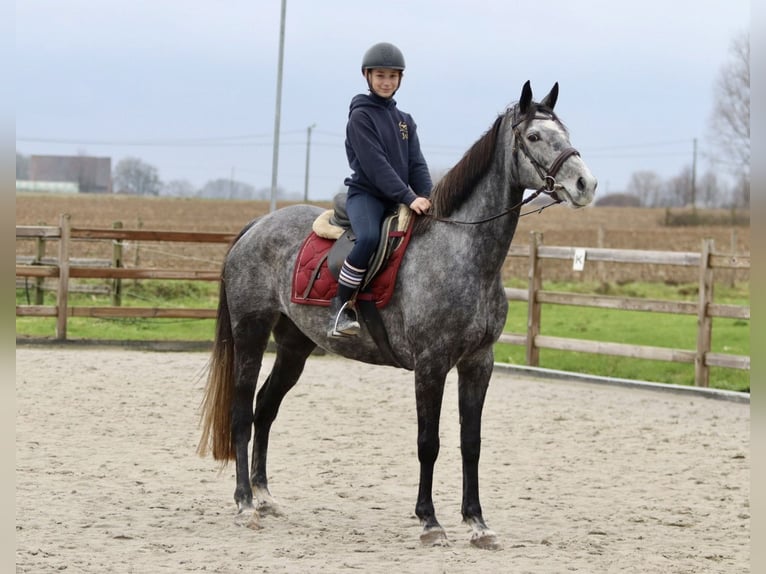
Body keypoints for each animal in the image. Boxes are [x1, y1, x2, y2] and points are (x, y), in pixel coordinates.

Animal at [198, 81, 600, 548]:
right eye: (534, 136)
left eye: (564, 132)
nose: (585, 183)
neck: (462, 252)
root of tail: (256, 226)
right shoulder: (430, 365)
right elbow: (429, 442)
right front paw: (430, 521)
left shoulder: (478, 363)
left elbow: (471, 442)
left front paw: (477, 523)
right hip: (251, 333)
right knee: (243, 410)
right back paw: (245, 502)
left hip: (295, 346)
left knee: (265, 407)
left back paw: (264, 496)